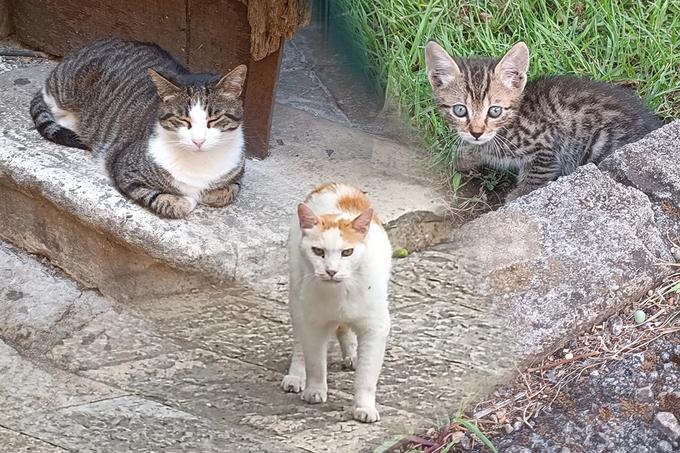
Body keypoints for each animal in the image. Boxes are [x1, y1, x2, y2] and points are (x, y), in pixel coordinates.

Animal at [30, 38, 247, 218]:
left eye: (214, 119)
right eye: (182, 120)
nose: (198, 141)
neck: (199, 164)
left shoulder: (237, 172)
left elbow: (229, 191)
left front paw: (210, 193)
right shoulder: (124, 169)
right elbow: (166, 201)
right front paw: (185, 200)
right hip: (65, 90)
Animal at [278, 182, 390, 422]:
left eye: (347, 252)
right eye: (318, 251)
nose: (331, 271)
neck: (340, 292)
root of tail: (334, 185)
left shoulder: (375, 327)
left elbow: (366, 376)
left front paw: (364, 407)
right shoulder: (313, 323)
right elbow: (315, 363)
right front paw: (315, 390)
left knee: (345, 330)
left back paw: (352, 355)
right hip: (297, 298)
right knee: (300, 344)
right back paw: (296, 376)